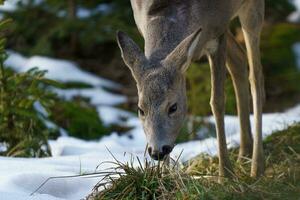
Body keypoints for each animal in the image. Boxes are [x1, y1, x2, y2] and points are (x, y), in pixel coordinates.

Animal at [116, 0, 264, 178]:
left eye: (173, 107)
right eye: (140, 110)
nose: (157, 151)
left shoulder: (218, 31)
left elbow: (217, 102)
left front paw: (225, 175)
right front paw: (165, 178)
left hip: (250, 9)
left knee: (256, 75)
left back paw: (257, 168)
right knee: (239, 59)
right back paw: (244, 154)